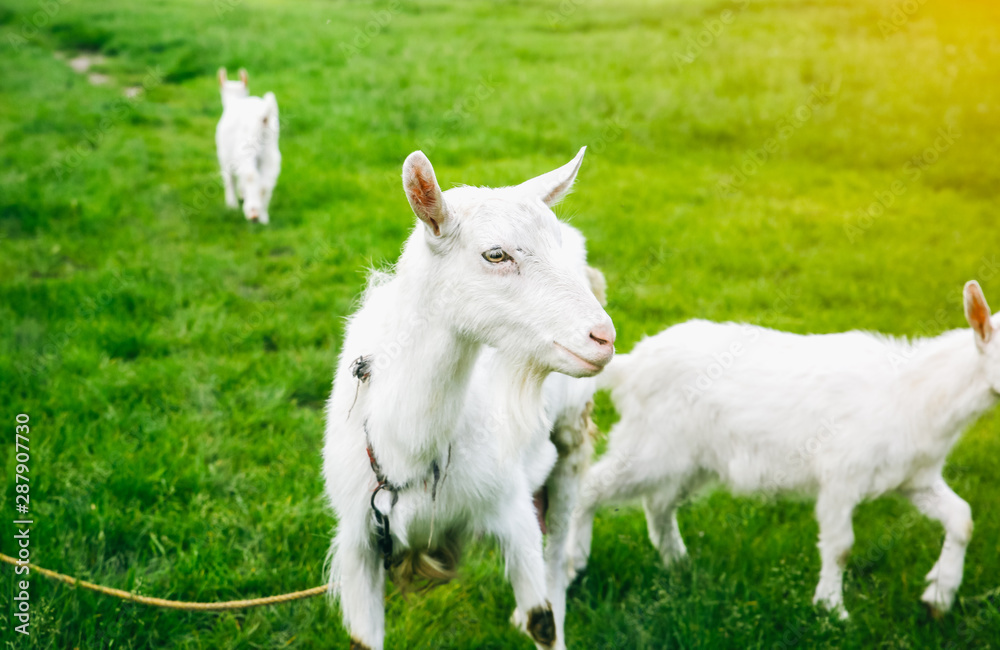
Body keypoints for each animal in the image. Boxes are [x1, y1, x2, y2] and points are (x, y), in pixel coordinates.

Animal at [216, 66, 282, 223]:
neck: (235, 100)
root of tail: (264, 117)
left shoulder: (224, 156)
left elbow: (229, 178)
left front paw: (232, 204)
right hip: (270, 153)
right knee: (266, 181)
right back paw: (263, 216)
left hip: (247, 150)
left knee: (250, 175)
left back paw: (252, 211)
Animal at [324, 148, 612, 648]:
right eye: (495, 254)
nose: (604, 337)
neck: (410, 452)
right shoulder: (359, 541)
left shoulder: (510, 508)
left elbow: (542, 620)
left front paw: (543, 618)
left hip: (572, 428)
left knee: (557, 541)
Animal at [572, 280, 1000, 616]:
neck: (917, 394)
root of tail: (631, 366)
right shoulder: (841, 476)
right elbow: (841, 547)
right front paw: (832, 609)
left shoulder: (914, 477)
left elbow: (962, 518)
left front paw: (939, 597)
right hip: (651, 445)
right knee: (592, 486)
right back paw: (574, 562)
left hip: (690, 459)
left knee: (658, 504)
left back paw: (678, 563)